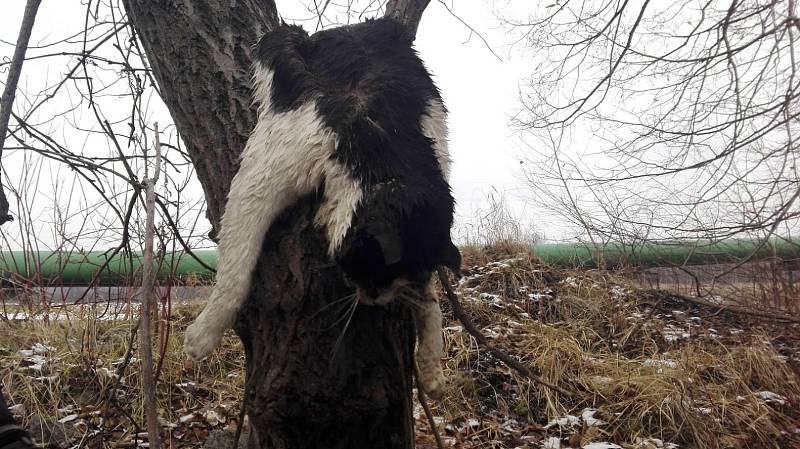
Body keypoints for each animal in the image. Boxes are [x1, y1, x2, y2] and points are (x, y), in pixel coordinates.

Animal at [181, 17, 456, 396]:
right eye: (364, 268)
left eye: (393, 277)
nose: (374, 296)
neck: (386, 146)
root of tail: (353, 27)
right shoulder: (260, 180)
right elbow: (235, 274)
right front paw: (202, 337)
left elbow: (429, 297)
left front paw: (431, 368)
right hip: (282, 42)